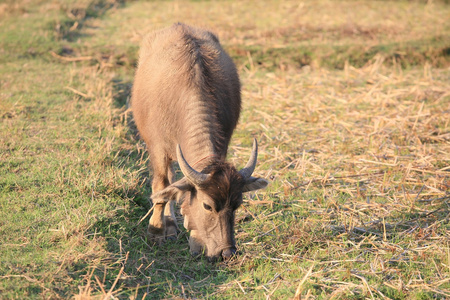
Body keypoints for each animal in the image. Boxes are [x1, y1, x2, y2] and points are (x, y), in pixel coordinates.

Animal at [132, 22, 268, 260]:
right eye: (207, 206)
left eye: (237, 205)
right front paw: (156, 230)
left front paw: (194, 240)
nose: (227, 252)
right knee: (169, 179)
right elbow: (161, 187)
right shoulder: (157, 148)